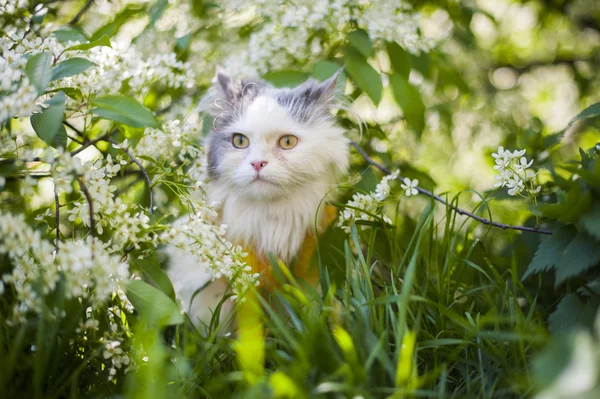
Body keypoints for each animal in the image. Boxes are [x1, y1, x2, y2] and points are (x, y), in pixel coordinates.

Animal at [166, 69, 350, 330]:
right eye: (240, 141)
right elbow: (247, 325)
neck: (270, 224)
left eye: (287, 142)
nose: (257, 163)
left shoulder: (311, 263)